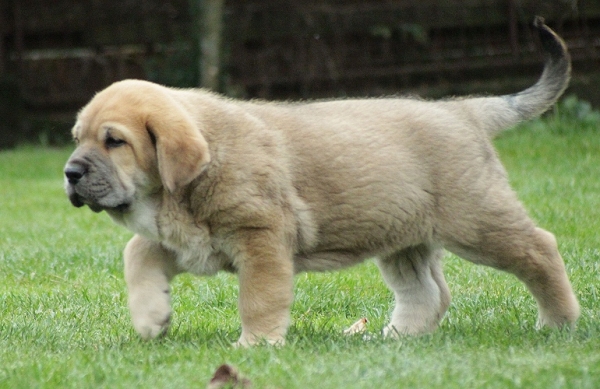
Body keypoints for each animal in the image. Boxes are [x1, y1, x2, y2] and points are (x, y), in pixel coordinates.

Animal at [64, 18, 576, 346]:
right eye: (77, 138)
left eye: (114, 141)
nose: (70, 173)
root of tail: (463, 109)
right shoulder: (189, 241)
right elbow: (137, 254)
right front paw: (152, 318)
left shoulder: (261, 239)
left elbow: (259, 299)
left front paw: (256, 345)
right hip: (403, 236)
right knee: (428, 292)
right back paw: (397, 337)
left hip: (476, 221)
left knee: (540, 248)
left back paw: (559, 321)